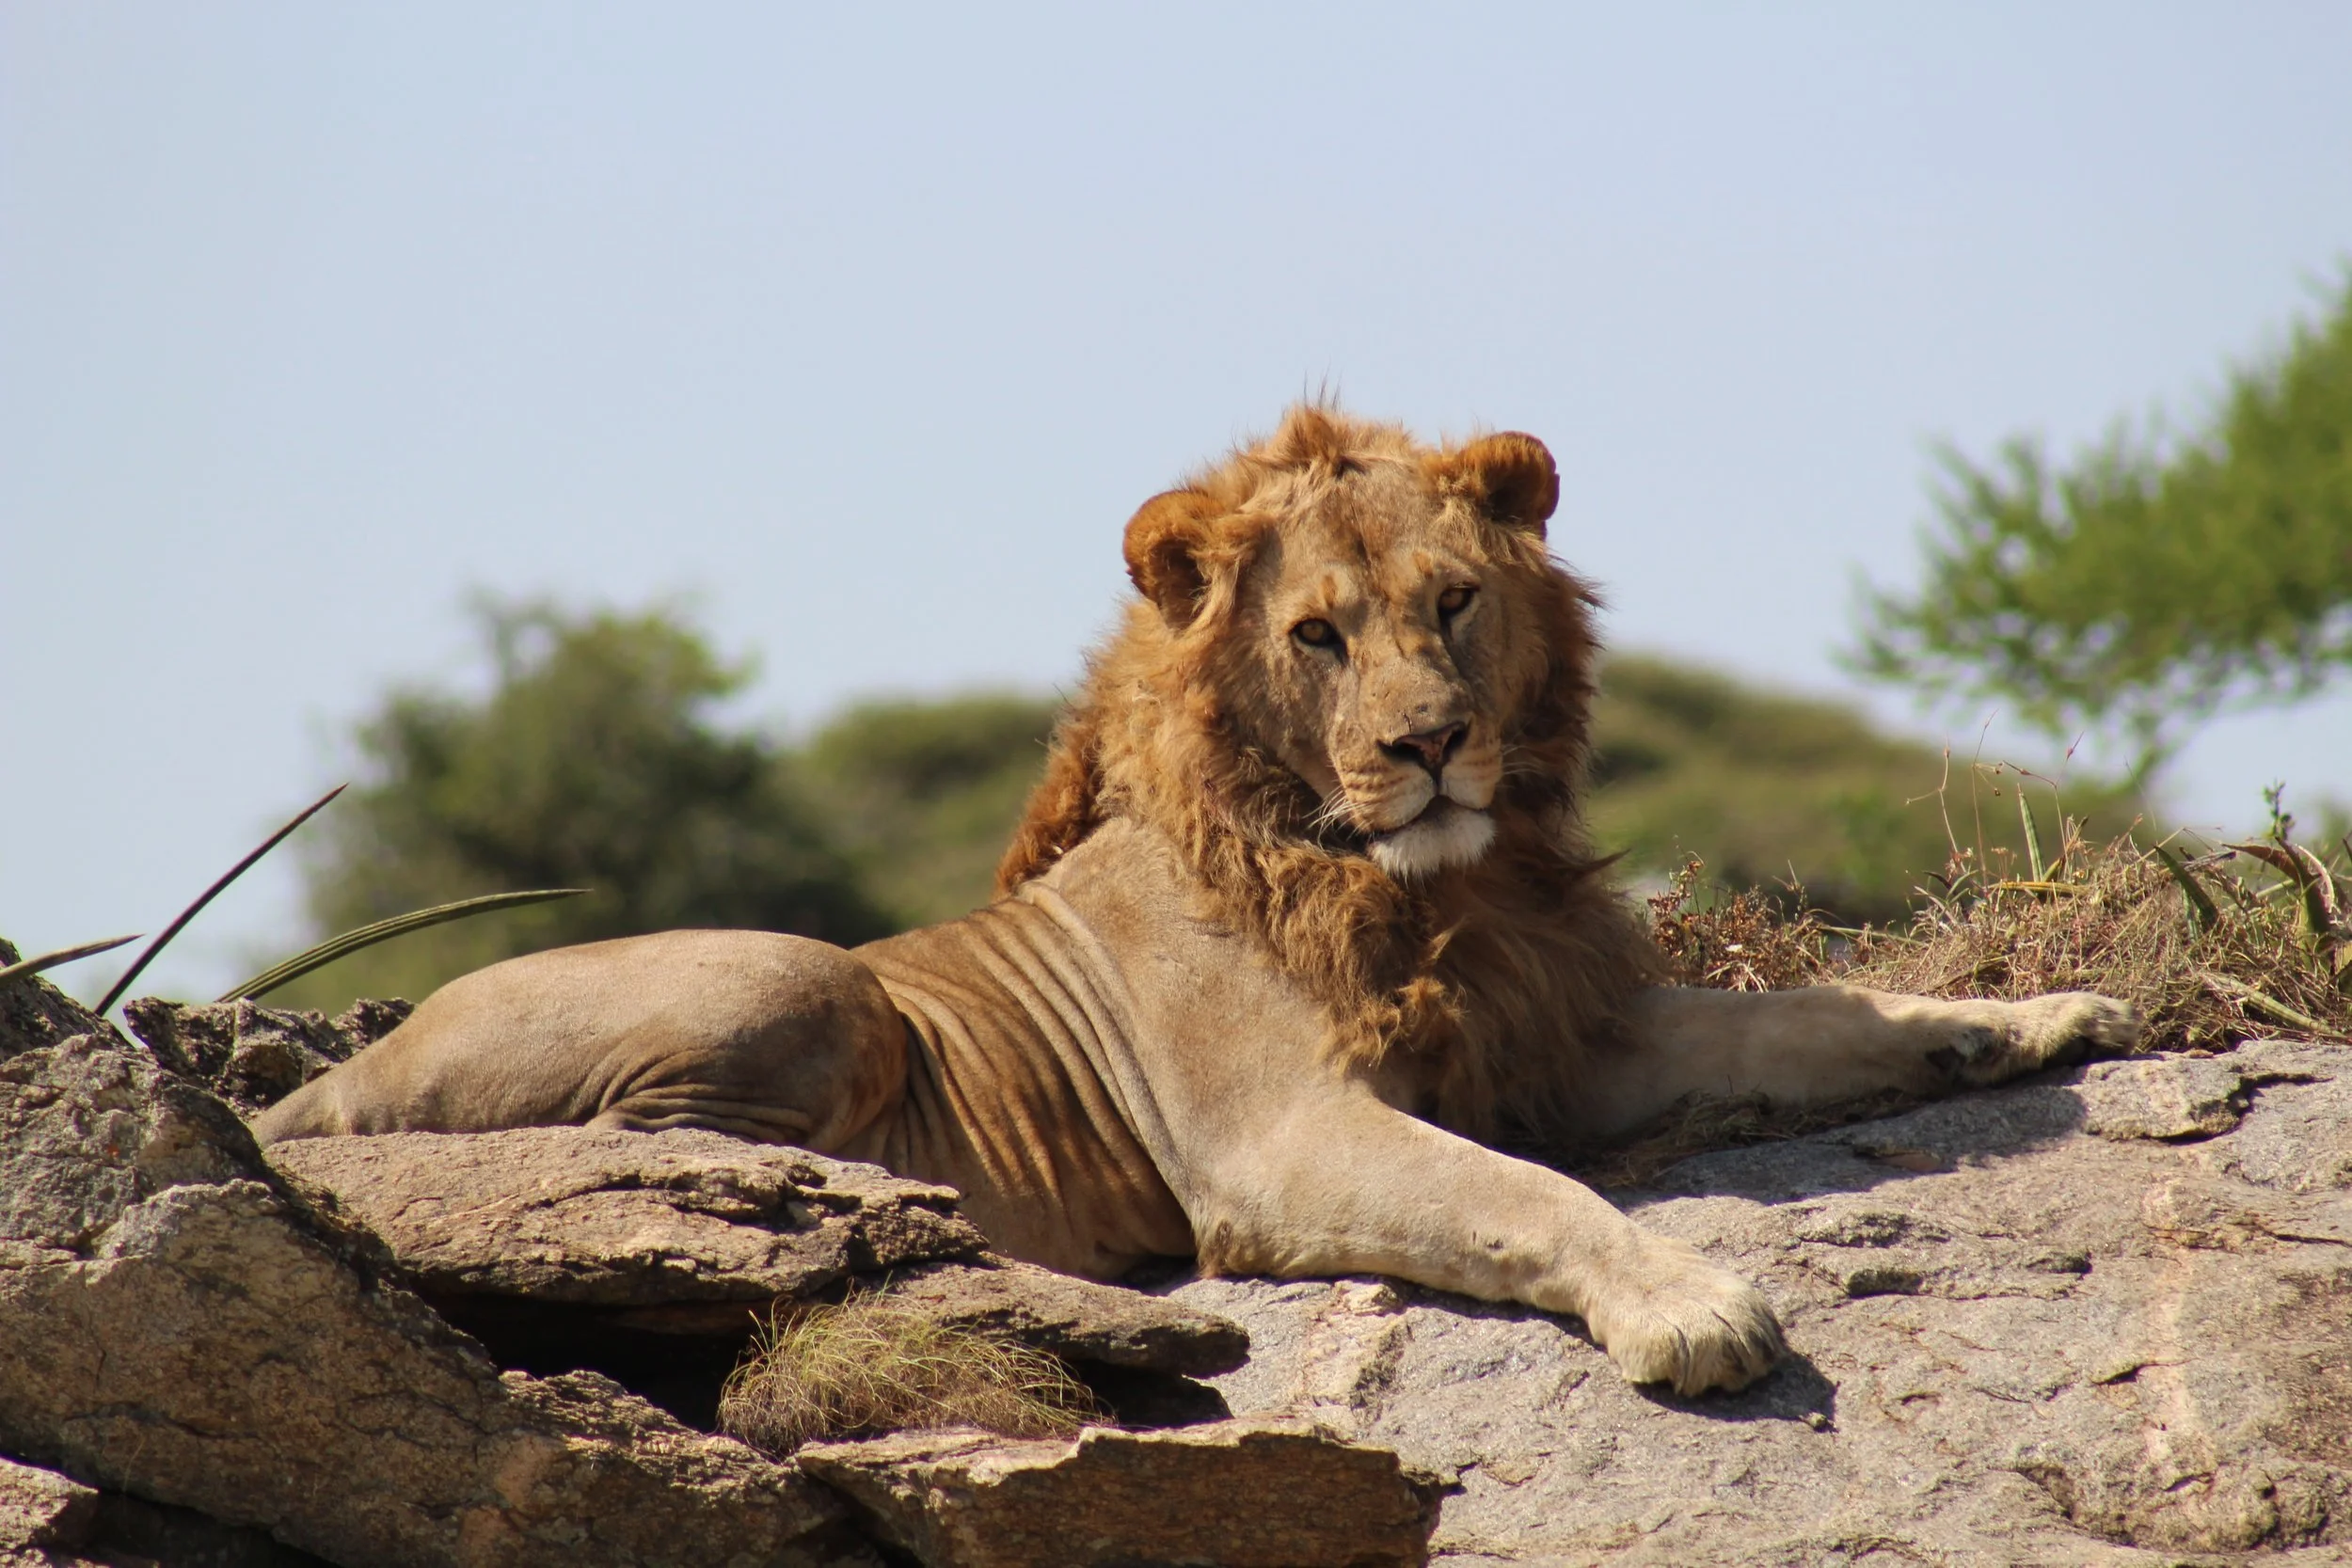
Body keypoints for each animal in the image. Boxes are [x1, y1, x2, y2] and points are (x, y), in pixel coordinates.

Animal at [254, 405, 2138, 1395]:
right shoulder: (1276, 1144)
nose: (1430, 743)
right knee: (630, 1170)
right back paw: (881, 1205)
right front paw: (1691, 1304)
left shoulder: (1561, 1033)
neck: (1430, 886)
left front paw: (2025, 1020)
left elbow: (1811, 1016)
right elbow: (1524, 1196)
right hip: (803, 980)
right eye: (1316, 635)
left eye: (1455, 604)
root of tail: (320, 1085)